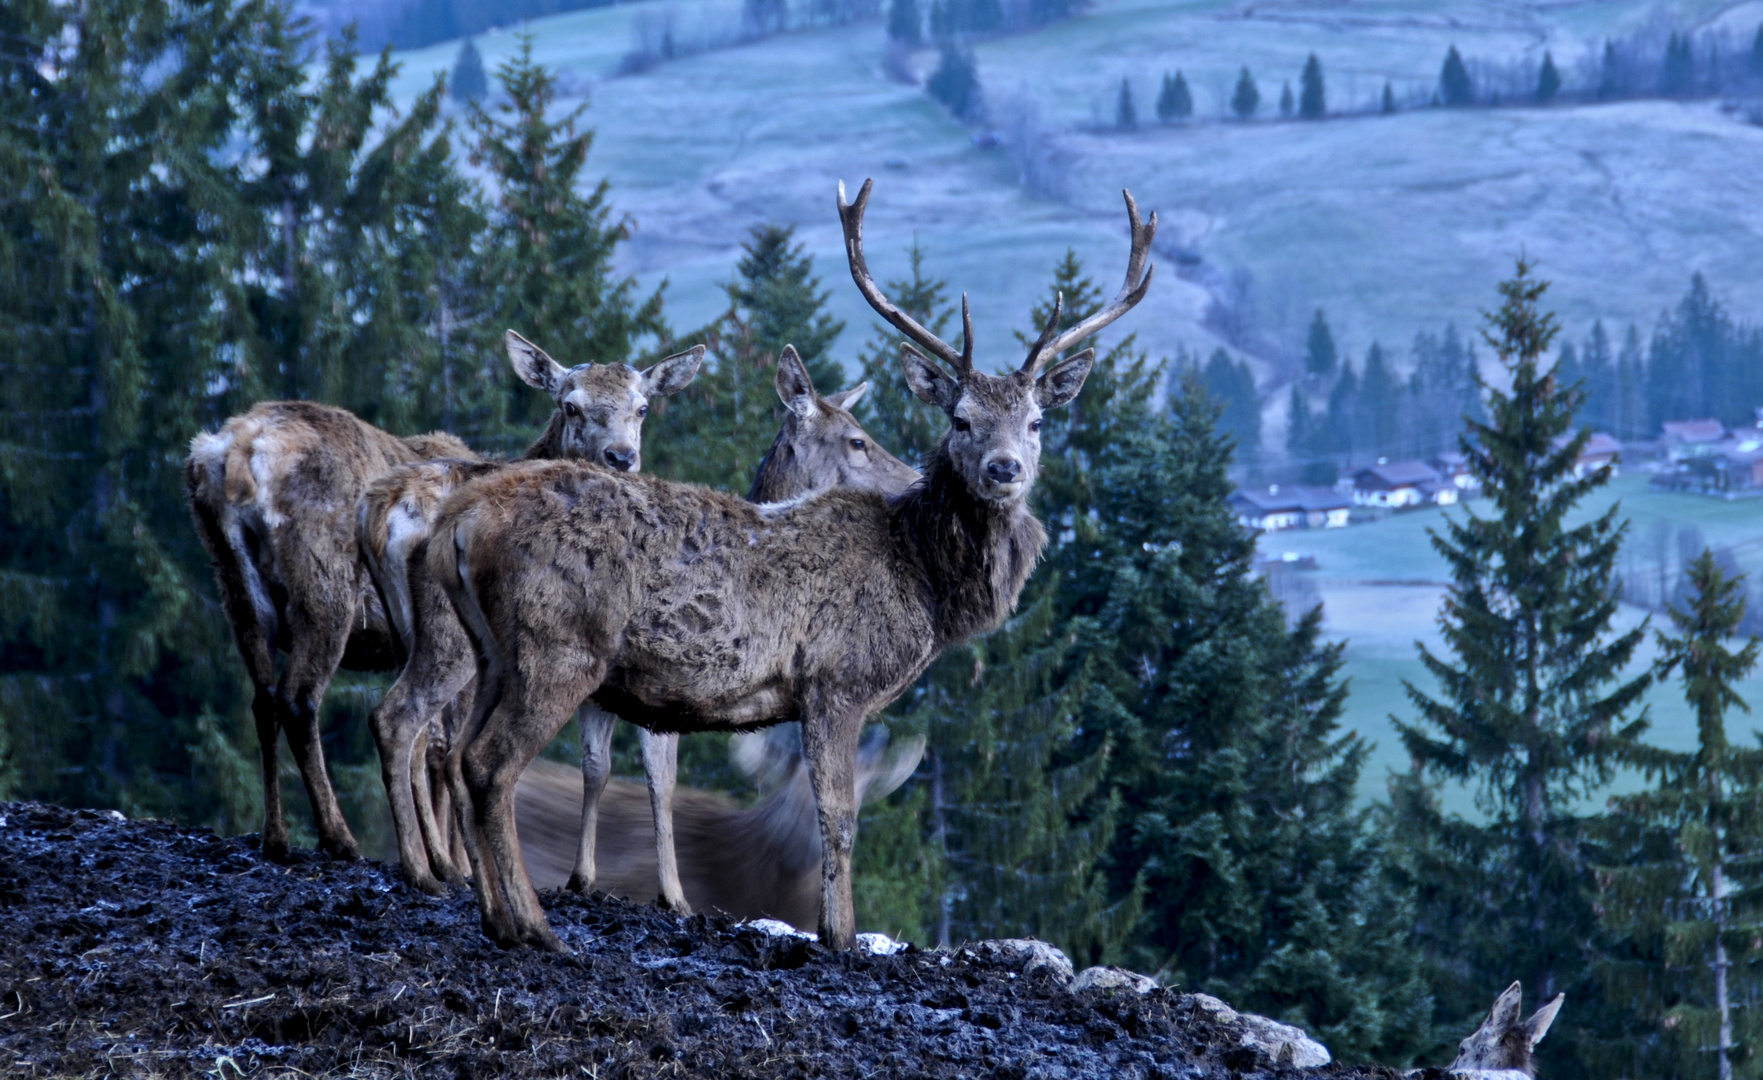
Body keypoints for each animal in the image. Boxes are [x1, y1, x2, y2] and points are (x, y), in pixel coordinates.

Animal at [180, 332, 701, 863]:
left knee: (262, 698)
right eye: (570, 405)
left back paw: (277, 836)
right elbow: (446, 748)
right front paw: (460, 860)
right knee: (300, 698)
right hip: (324, 577)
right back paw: (339, 836)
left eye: (642, 407)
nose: (621, 457)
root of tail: (232, 453)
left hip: (232, 582)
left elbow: (433, 746)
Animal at [352, 343, 916, 891]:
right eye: (857, 440)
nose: (913, 478)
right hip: (451, 640)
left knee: (428, 737)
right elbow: (659, 777)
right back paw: (429, 866)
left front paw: (583, 876)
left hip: (416, 635)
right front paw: (672, 894)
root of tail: (382, 506)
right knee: (407, 723)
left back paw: (446, 863)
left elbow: (596, 767)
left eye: (643, 408)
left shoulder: (605, 687)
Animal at [428, 181, 1156, 944]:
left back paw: (496, 914)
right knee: (489, 764)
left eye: (1036, 422)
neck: (925, 585)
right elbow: (838, 818)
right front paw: (839, 936)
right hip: (557, 646)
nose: (1004, 468)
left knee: (456, 755)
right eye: (960, 419)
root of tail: (464, 519)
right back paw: (532, 924)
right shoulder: (836, 679)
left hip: (493, 654)